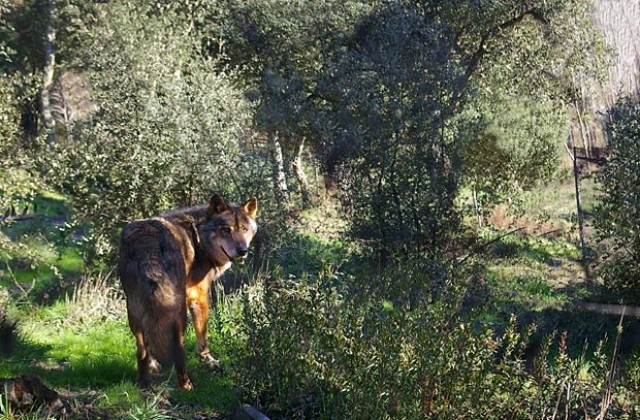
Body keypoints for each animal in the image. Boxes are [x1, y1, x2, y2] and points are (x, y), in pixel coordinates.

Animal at [117, 194, 258, 390]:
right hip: (178, 314)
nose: (242, 251)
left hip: (134, 312)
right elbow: (203, 337)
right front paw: (210, 361)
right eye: (225, 229)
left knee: (141, 350)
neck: (198, 238)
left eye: (244, 229)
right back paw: (187, 386)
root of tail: (146, 245)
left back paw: (144, 383)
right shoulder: (198, 296)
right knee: (178, 351)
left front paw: (154, 366)